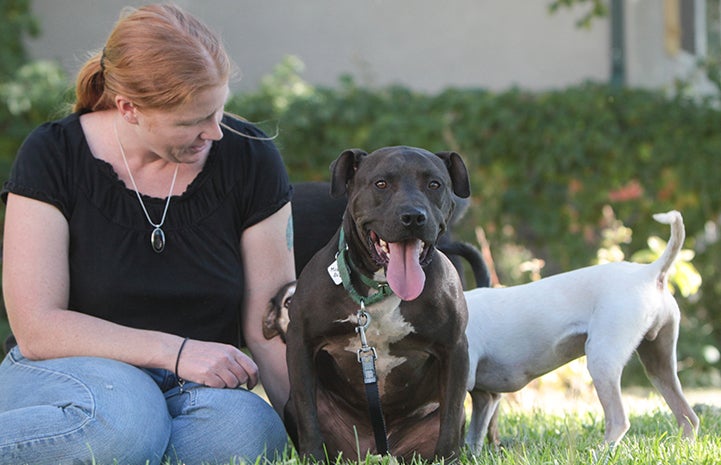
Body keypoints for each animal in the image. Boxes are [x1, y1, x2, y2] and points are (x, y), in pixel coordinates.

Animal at [466, 210, 696, 450]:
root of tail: (649, 273)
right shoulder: (485, 396)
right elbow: (473, 435)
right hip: (658, 363)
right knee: (688, 416)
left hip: (602, 360)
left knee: (619, 420)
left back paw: (601, 452)